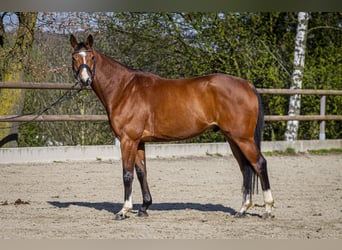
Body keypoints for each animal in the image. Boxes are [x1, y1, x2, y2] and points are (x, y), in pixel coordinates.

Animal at [71, 34, 274, 220]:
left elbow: (127, 174)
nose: (85, 80)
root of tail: (247, 85)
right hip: (233, 138)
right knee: (246, 168)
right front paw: (144, 207)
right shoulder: (139, 142)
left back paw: (268, 209)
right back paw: (243, 209)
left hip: (243, 138)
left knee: (259, 164)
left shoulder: (128, 140)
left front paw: (124, 210)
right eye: (74, 57)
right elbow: (142, 172)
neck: (124, 89)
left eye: (91, 57)